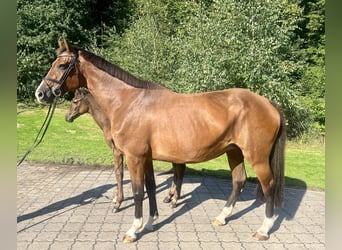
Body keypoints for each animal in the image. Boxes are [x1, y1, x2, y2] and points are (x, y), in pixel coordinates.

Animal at [34, 39, 286, 242]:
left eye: (62, 65)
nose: (40, 93)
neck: (128, 102)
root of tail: (268, 103)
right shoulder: (145, 157)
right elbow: (151, 187)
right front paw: (150, 222)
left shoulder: (134, 157)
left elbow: (137, 191)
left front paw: (133, 230)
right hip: (233, 151)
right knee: (239, 180)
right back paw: (222, 217)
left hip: (257, 157)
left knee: (269, 185)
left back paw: (263, 229)